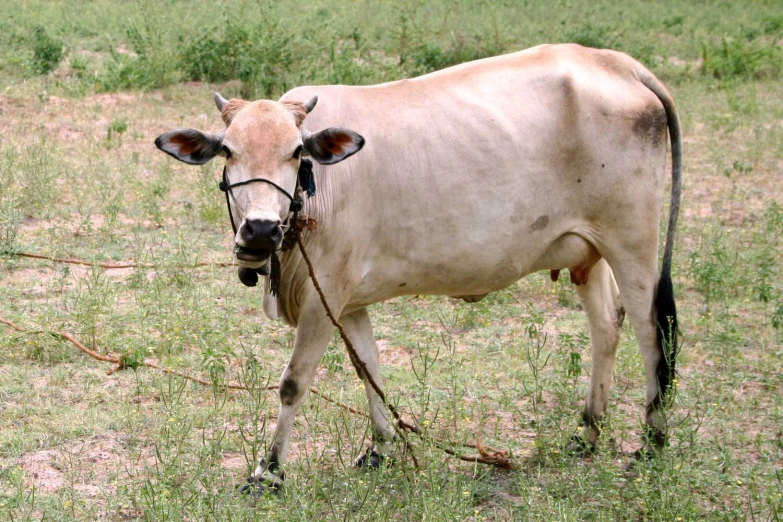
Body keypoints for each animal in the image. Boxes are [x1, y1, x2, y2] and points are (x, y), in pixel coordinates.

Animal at [155, 42, 680, 490]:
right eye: (228, 150)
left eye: (297, 152)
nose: (261, 230)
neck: (317, 191)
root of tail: (618, 63)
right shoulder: (347, 302)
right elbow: (368, 366)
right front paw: (380, 449)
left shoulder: (324, 298)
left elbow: (293, 383)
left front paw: (268, 472)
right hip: (588, 252)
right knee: (606, 327)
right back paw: (588, 432)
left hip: (632, 241)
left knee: (651, 329)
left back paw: (652, 442)